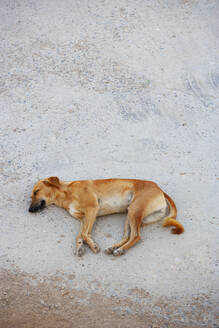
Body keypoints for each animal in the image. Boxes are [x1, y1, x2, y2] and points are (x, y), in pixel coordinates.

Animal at [28, 177, 183, 256]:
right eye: (31, 195)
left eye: (36, 192)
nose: (29, 210)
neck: (66, 193)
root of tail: (159, 189)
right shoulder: (83, 218)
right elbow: (80, 235)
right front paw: (80, 246)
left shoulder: (92, 210)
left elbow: (84, 234)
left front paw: (92, 245)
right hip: (129, 214)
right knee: (127, 236)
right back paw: (113, 247)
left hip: (135, 210)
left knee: (136, 236)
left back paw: (120, 250)